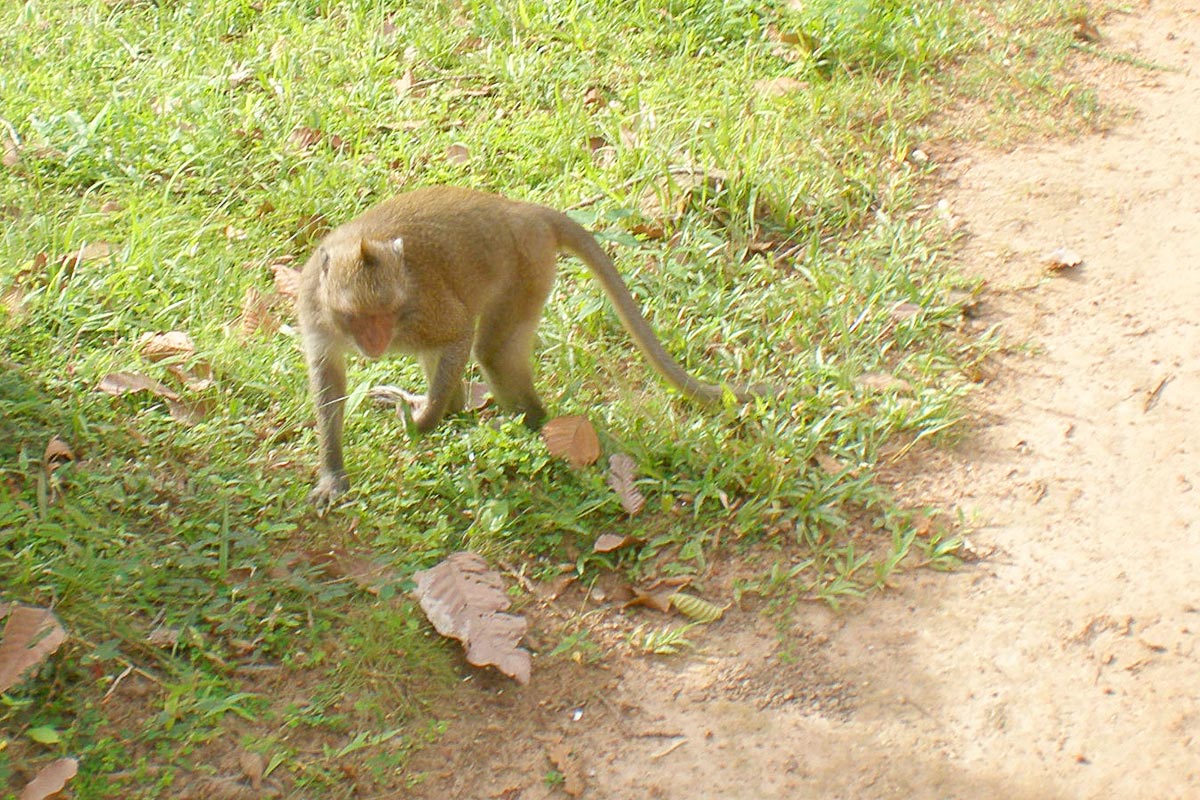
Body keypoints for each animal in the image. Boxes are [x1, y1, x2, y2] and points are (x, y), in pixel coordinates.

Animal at [300, 185, 768, 506]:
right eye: (358, 317)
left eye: (388, 313)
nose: (375, 343)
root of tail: (523, 212)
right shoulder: (315, 310)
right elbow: (329, 381)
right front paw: (332, 473)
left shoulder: (419, 311)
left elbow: (457, 334)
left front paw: (422, 423)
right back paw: (456, 409)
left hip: (527, 269)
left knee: (492, 351)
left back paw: (528, 422)